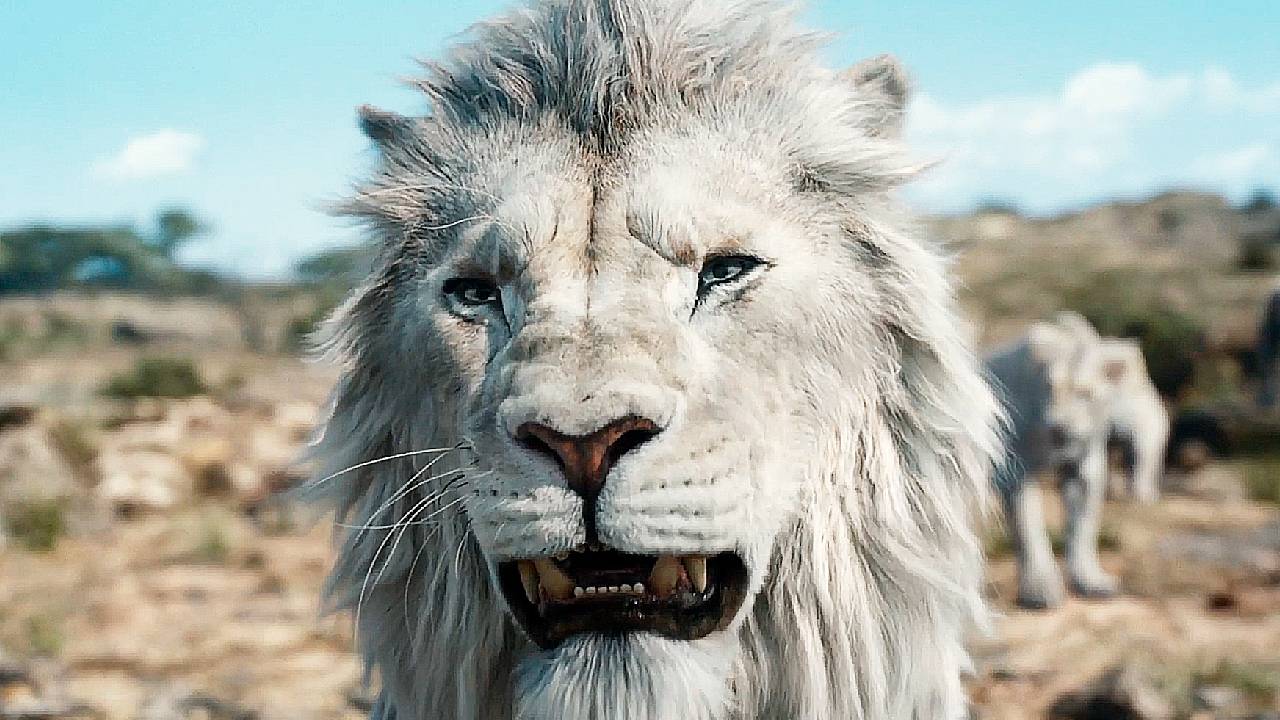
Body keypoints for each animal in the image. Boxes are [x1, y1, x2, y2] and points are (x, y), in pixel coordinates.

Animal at [984, 312, 1128, 609]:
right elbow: (1028, 528)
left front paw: (1091, 582)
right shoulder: (1016, 473)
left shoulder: (1084, 469)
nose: (1059, 427)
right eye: (1051, 388)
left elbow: (1082, 527)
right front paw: (1040, 593)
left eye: (1084, 393)